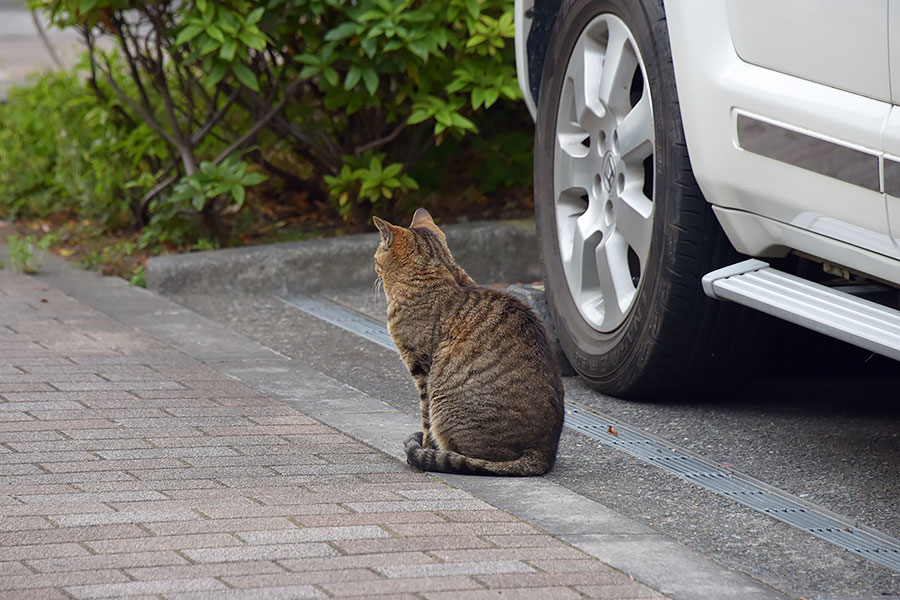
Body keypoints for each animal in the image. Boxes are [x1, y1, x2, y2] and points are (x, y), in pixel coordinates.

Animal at [372, 209, 564, 476]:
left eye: (376, 257)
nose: (374, 267)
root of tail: (542, 454)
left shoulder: (421, 369)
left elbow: (425, 421)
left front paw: (423, 451)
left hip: (444, 403)